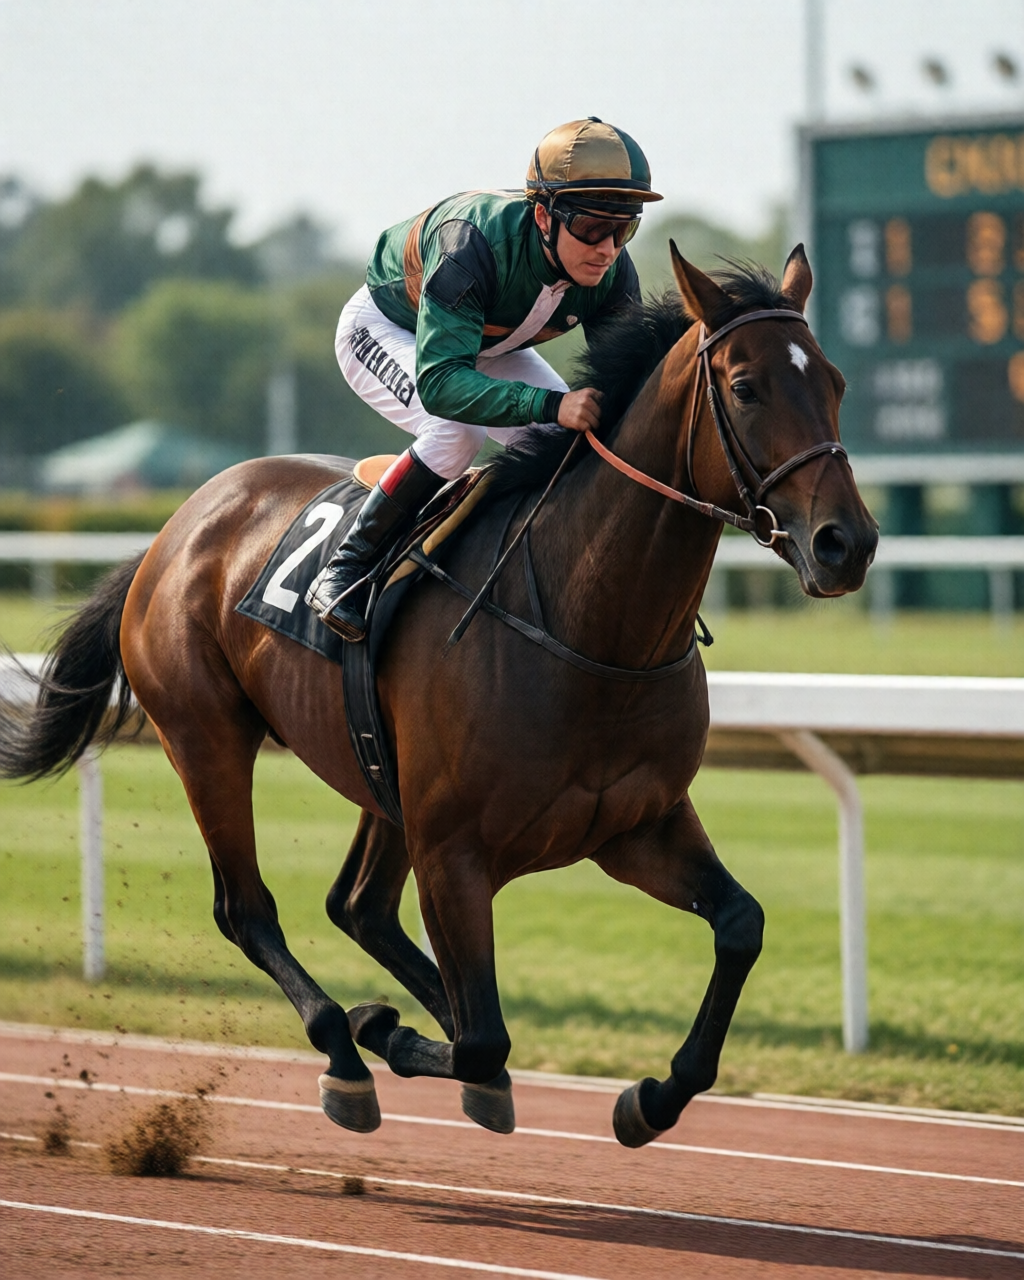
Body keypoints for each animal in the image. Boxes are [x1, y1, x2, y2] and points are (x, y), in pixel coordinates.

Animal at [0, 245, 877, 1148]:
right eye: (746, 386)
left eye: (836, 381)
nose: (845, 543)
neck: (589, 627)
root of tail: (170, 532)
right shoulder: (455, 852)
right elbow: (485, 1036)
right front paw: (383, 1030)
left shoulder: (638, 825)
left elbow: (740, 926)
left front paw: (651, 1097)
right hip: (205, 737)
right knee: (247, 909)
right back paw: (345, 1052)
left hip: (378, 777)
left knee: (358, 907)